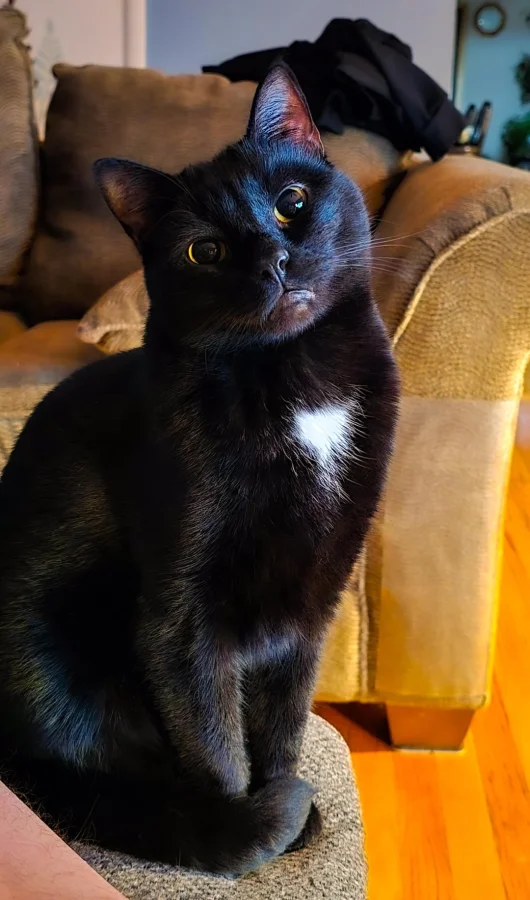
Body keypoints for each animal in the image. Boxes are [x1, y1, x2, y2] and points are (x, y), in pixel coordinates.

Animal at [0, 64, 398, 875]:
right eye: (204, 253)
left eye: (292, 202)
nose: (276, 260)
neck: (298, 382)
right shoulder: (182, 623)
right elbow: (217, 750)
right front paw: (249, 829)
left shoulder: (310, 607)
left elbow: (281, 728)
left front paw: (288, 815)